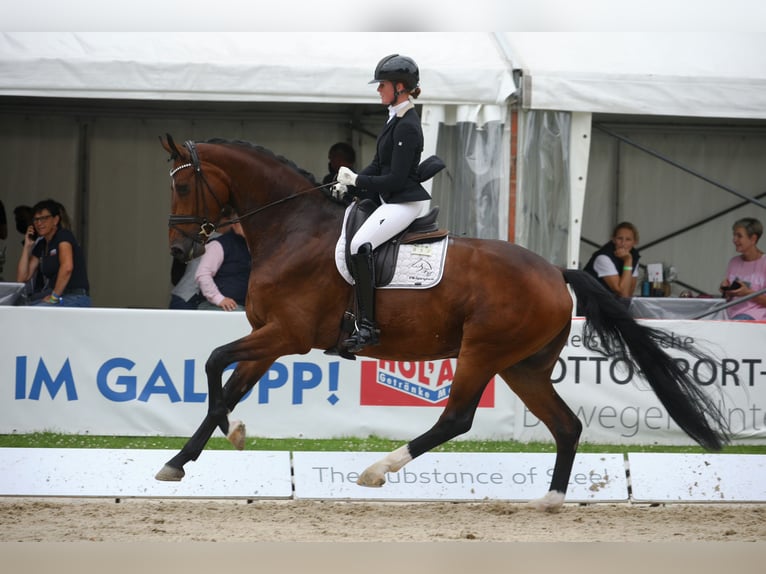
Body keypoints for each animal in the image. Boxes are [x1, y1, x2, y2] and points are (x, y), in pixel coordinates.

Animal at [156, 136, 732, 512]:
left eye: (183, 186)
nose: (179, 253)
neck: (292, 230)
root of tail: (554, 271)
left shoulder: (287, 336)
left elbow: (213, 364)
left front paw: (227, 434)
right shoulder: (270, 339)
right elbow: (227, 384)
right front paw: (186, 457)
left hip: (482, 352)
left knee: (456, 419)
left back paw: (377, 471)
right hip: (523, 367)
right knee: (566, 425)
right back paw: (550, 500)